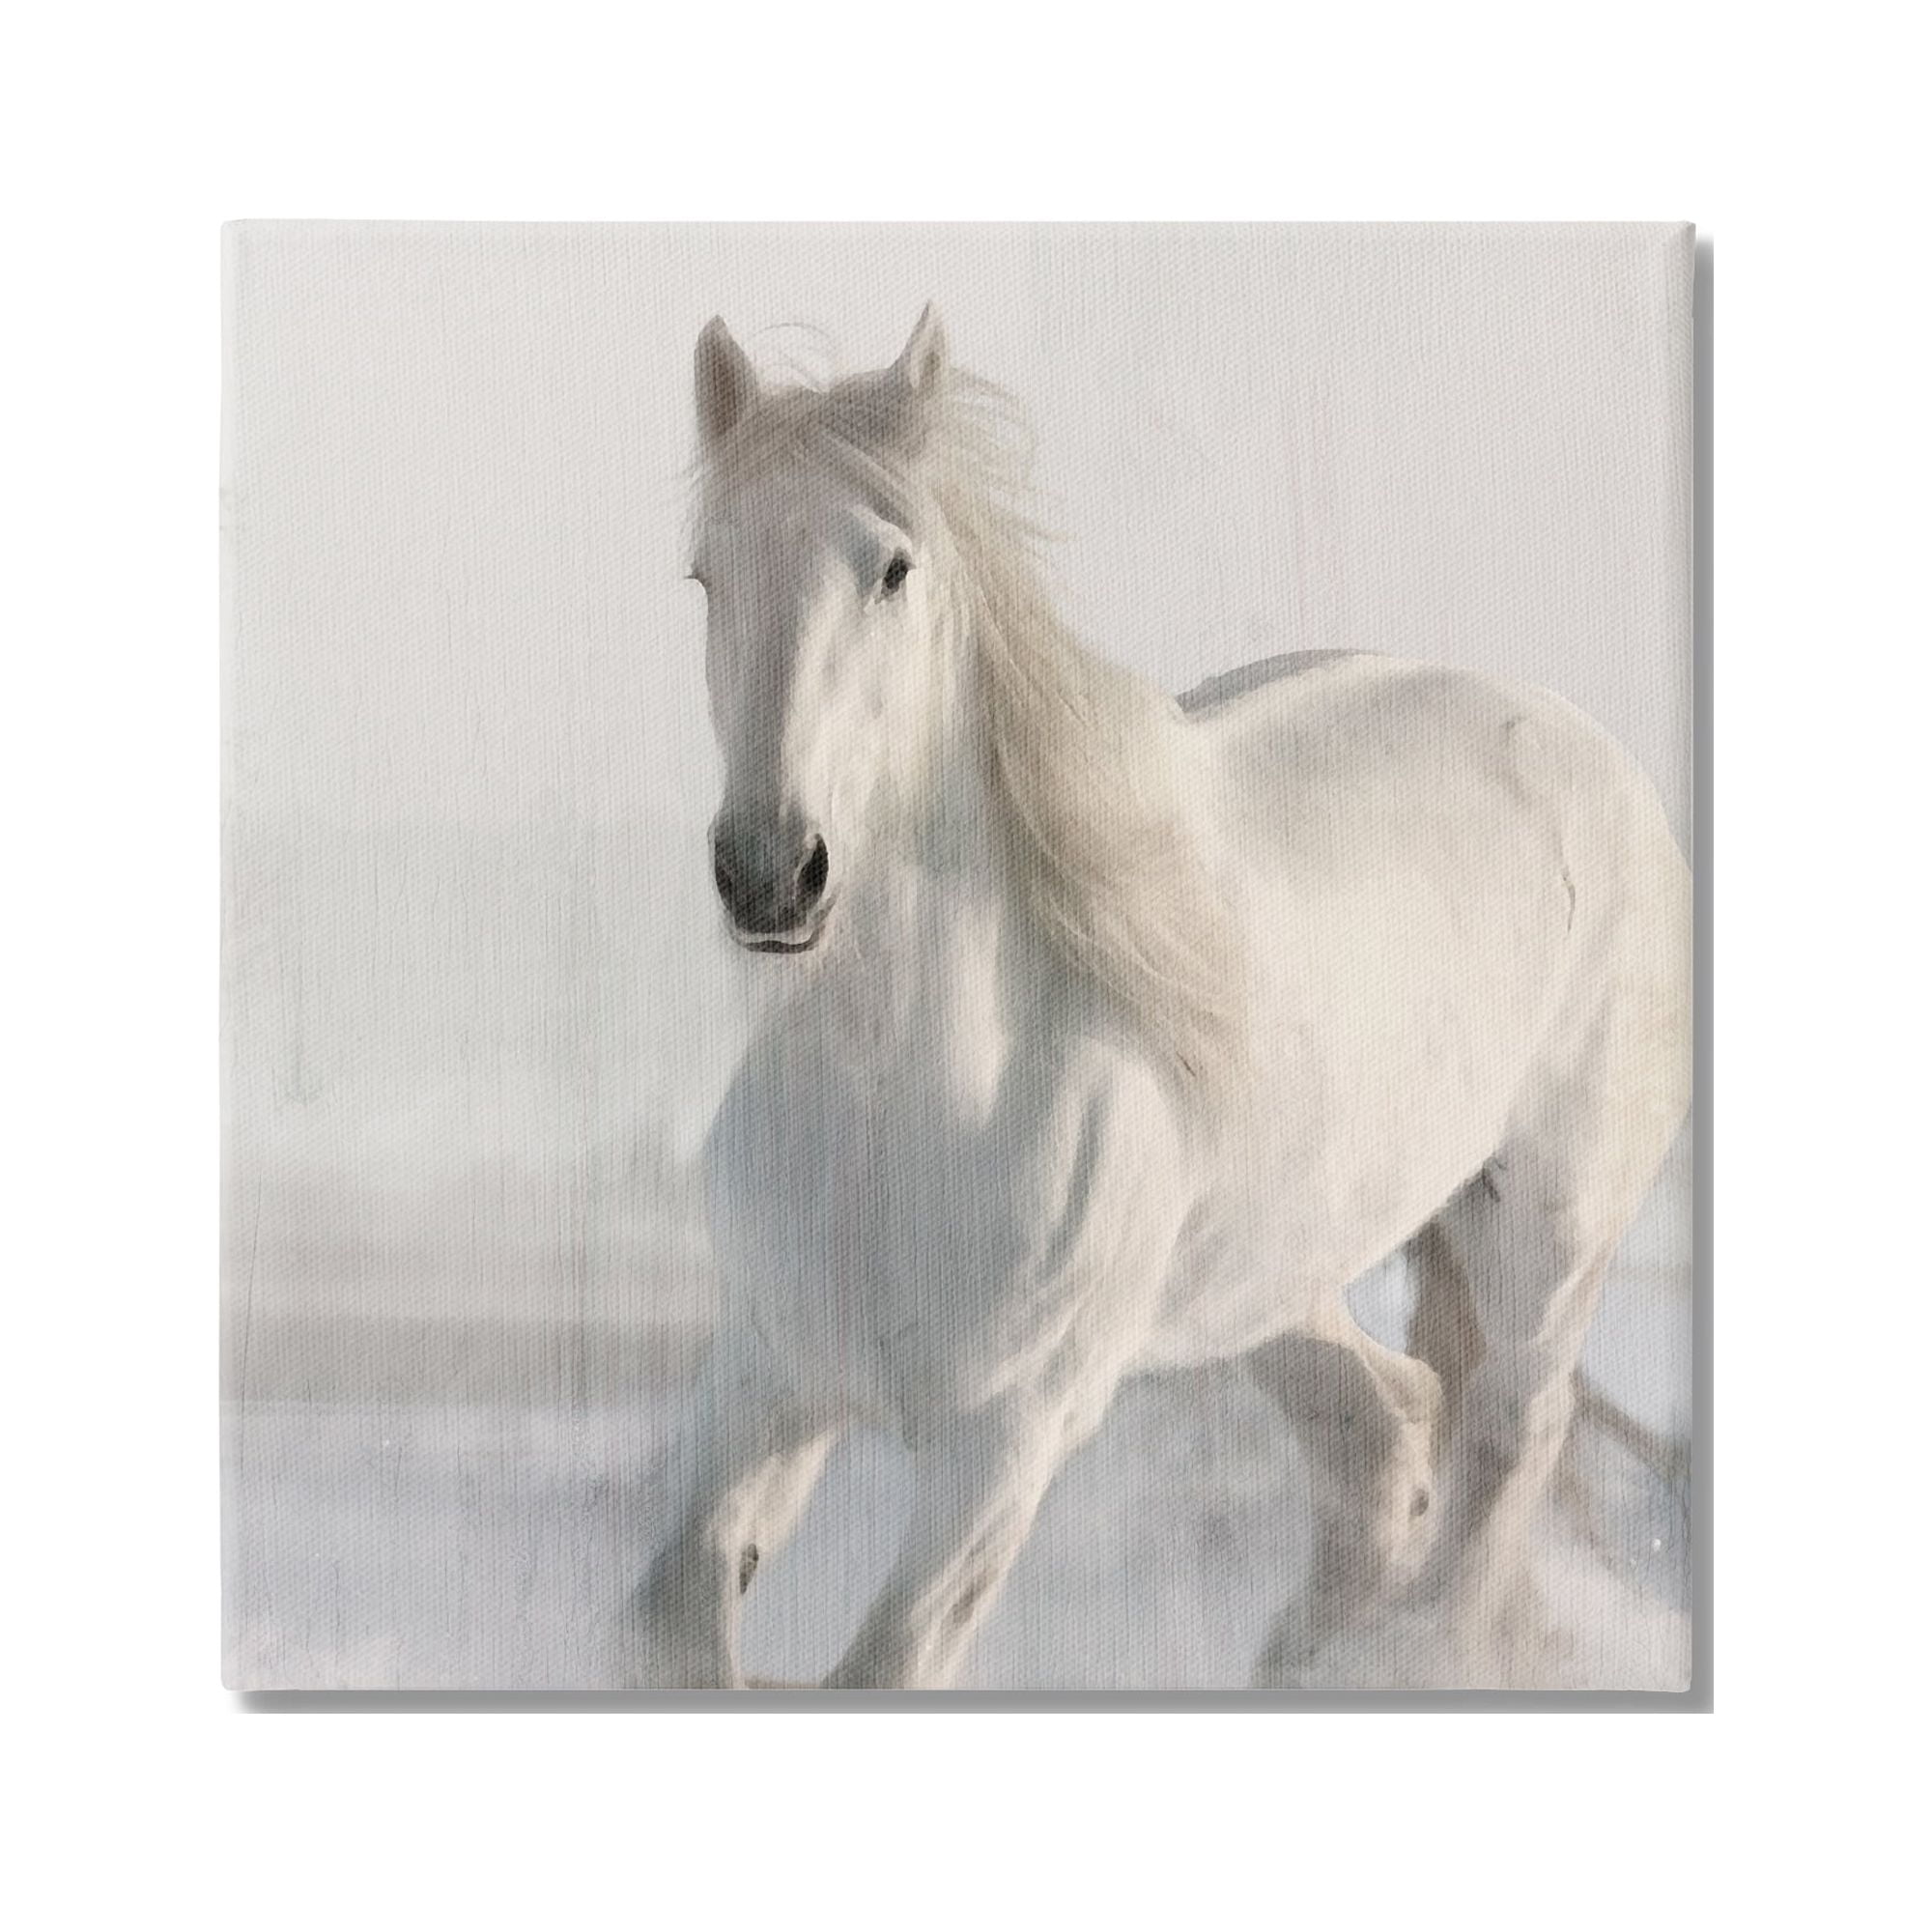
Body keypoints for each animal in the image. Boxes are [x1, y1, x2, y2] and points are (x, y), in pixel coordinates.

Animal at [630, 305, 1691, 1690]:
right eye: (706, 575)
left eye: (893, 570)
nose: (769, 871)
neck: (905, 1115)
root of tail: (1586, 747)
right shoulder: (766, 1377)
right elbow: (676, 1613)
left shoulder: (1002, 1448)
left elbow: (886, 1663)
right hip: (1270, 1278)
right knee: (1384, 1434)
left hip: (1546, 1244)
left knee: (1509, 1434)